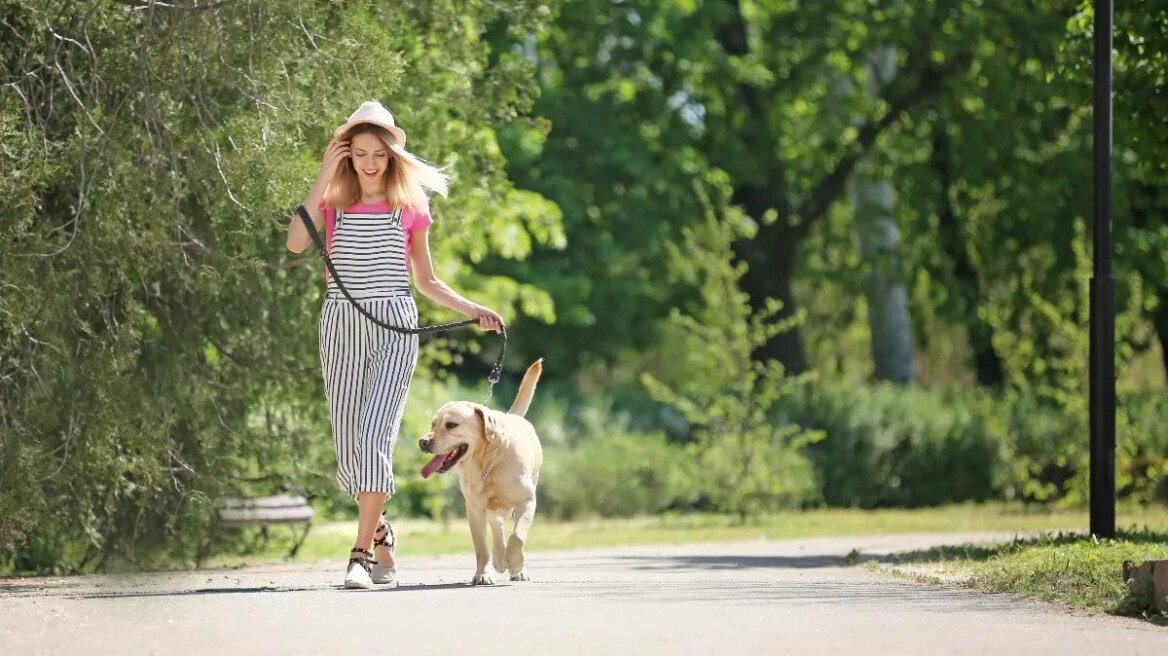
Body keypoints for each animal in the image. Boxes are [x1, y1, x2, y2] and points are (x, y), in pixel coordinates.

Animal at [418, 357, 544, 581]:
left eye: (451, 425)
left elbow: (517, 537)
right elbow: (481, 547)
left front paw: (516, 566)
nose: (422, 442)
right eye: (433, 424)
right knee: (497, 524)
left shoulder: (527, 501)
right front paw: (483, 574)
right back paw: (499, 559)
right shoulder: (474, 509)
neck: (487, 463)